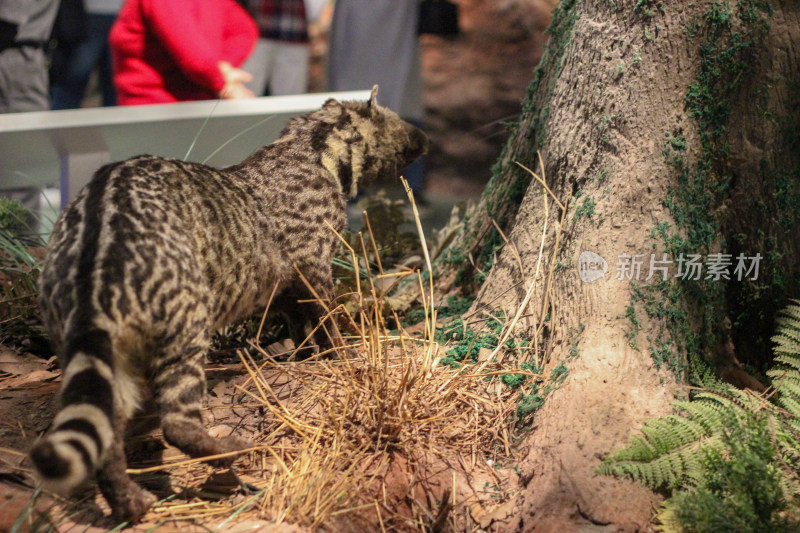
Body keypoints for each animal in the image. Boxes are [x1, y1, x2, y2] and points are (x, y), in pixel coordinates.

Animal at [28, 86, 428, 520]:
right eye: (395, 120)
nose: (425, 139)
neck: (311, 142)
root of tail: (93, 266)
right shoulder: (312, 264)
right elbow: (328, 319)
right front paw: (344, 354)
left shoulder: (286, 287)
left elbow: (303, 327)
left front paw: (307, 355)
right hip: (185, 324)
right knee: (177, 424)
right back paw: (225, 450)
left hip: (111, 358)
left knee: (107, 436)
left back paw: (128, 501)